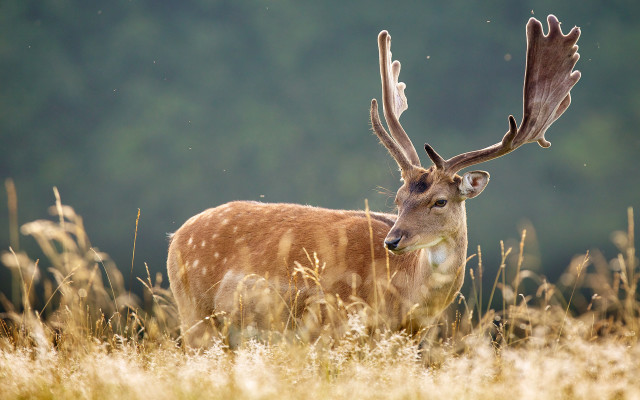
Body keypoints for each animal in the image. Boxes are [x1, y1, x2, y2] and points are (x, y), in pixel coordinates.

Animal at [167, 15, 581, 347]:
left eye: (440, 201)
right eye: (398, 199)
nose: (393, 240)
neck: (405, 301)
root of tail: (175, 237)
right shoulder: (335, 325)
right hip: (195, 314)